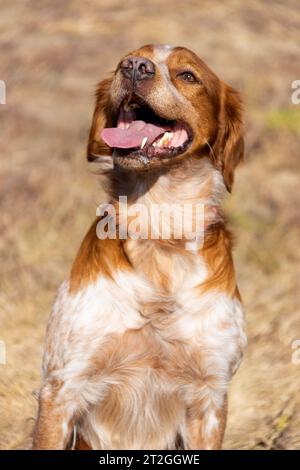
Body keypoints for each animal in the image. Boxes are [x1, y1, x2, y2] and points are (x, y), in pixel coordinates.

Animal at [34, 45, 247, 452]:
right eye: (126, 59)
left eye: (188, 75)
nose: (133, 68)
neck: (160, 230)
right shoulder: (62, 386)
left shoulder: (209, 396)